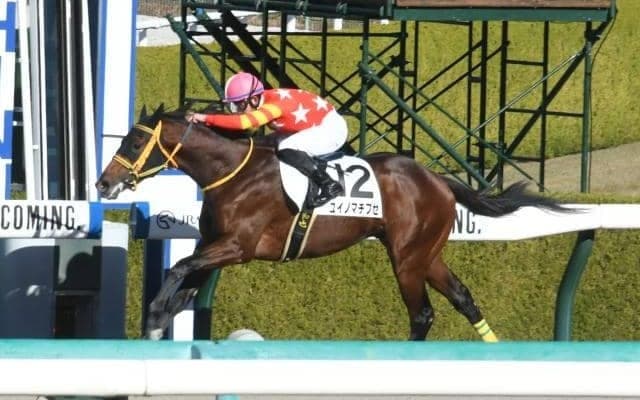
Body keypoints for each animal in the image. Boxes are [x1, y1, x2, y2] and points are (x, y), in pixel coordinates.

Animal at [95, 106, 566, 341]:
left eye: (133, 142)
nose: (103, 183)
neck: (230, 172)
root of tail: (438, 179)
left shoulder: (238, 247)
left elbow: (177, 270)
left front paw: (153, 318)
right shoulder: (212, 247)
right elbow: (184, 286)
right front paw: (158, 319)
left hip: (407, 259)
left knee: (422, 314)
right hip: (427, 254)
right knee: (464, 299)